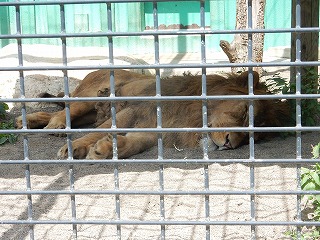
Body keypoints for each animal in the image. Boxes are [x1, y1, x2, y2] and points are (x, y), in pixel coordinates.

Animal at [15, 69, 290, 159]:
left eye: (253, 138)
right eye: (244, 112)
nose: (230, 144)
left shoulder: (157, 130)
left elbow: (135, 144)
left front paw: (107, 149)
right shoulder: (133, 111)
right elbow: (99, 131)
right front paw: (76, 148)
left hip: (90, 112)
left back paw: (27, 121)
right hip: (89, 98)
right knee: (67, 110)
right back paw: (55, 127)